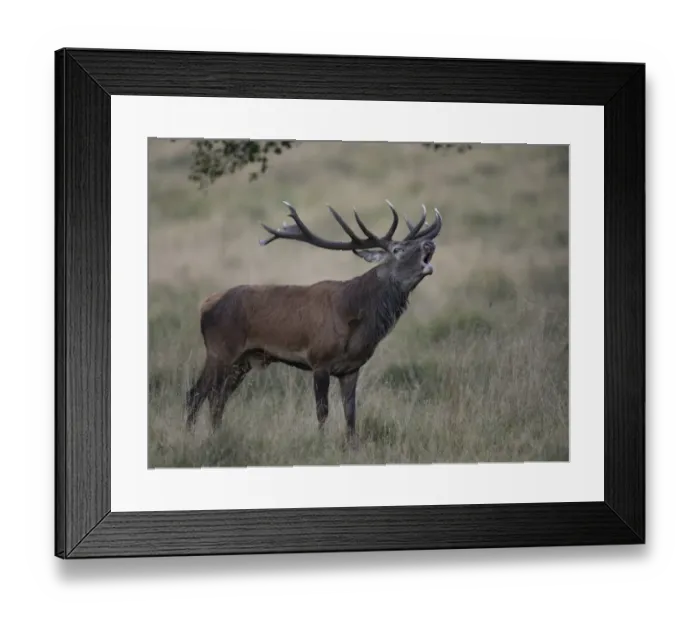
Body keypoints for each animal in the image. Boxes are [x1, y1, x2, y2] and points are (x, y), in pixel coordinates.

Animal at [184, 199, 442, 444]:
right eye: (398, 249)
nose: (429, 244)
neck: (356, 319)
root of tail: (205, 305)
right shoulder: (319, 359)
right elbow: (322, 411)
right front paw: (321, 443)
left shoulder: (351, 368)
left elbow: (351, 415)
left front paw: (352, 447)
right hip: (220, 351)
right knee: (196, 394)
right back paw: (190, 437)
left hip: (243, 360)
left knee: (218, 399)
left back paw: (216, 436)